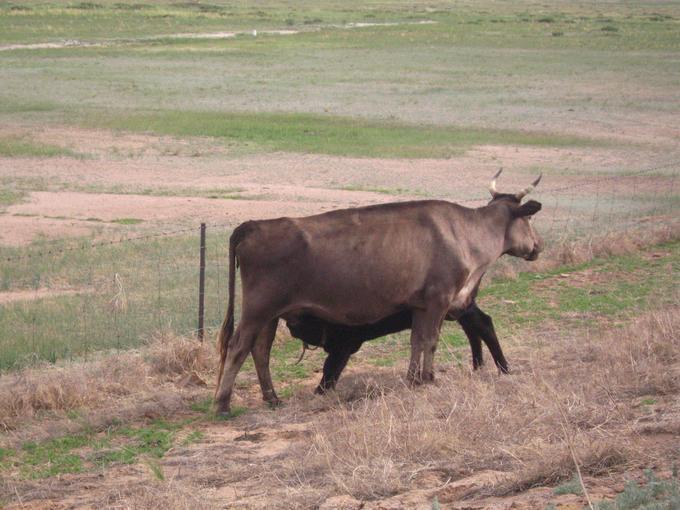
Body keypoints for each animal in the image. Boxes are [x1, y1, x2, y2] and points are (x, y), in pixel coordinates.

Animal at [215, 171, 544, 414]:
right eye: (529, 219)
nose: (539, 245)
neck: (463, 233)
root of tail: (254, 225)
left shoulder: (421, 306)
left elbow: (417, 341)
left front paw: (414, 379)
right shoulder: (437, 300)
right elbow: (430, 340)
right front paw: (428, 378)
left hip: (271, 314)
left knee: (260, 350)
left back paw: (272, 398)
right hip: (257, 309)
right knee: (238, 346)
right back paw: (223, 403)